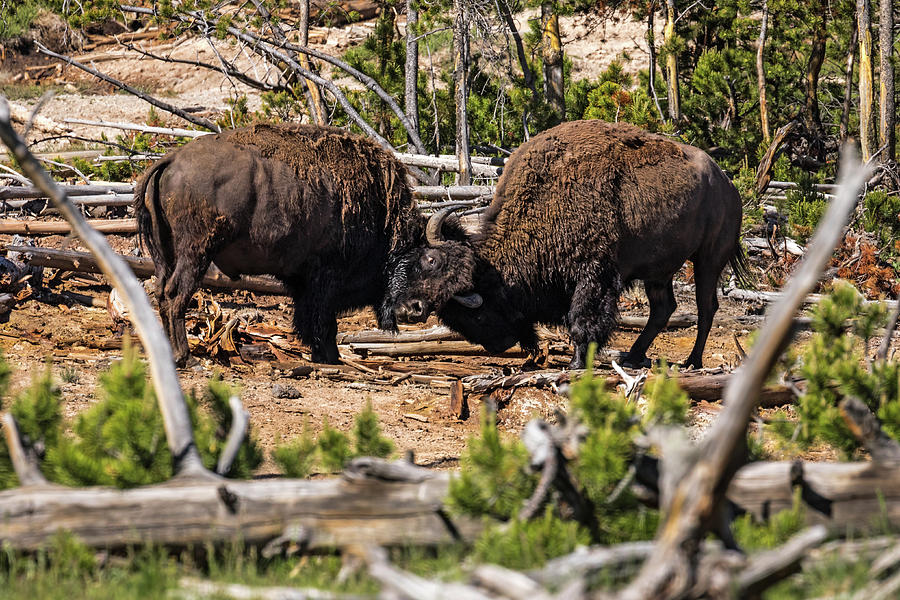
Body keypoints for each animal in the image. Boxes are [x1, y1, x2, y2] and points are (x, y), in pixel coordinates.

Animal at [134, 123, 426, 364]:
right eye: (417, 259)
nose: (416, 309)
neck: (381, 212)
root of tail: (171, 159)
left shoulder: (303, 279)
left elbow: (309, 317)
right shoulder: (325, 277)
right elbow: (323, 321)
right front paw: (330, 357)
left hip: (166, 253)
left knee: (161, 292)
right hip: (196, 252)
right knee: (175, 294)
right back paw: (186, 358)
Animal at [390, 119, 748, 368]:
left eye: (477, 315)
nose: (497, 344)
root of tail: (728, 185)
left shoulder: (594, 274)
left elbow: (582, 319)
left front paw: (577, 362)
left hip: (708, 260)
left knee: (705, 308)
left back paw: (692, 361)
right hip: (658, 272)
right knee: (664, 308)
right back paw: (634, 356)